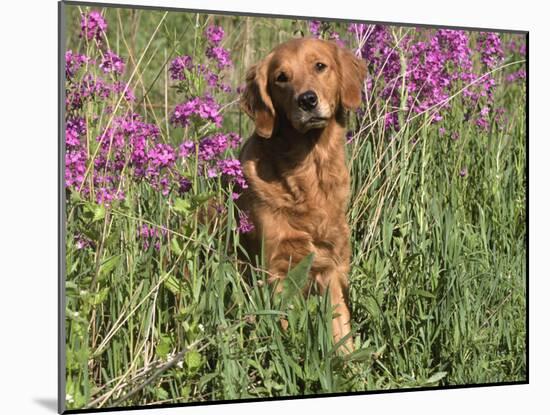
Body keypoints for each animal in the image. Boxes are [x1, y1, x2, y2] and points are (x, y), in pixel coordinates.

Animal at [237, 37, 366, 352]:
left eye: (320, 66)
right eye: (281, 78)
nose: (307, 100)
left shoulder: (330, 265)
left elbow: (340, 328)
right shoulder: (276, 269)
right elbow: (283, 324)